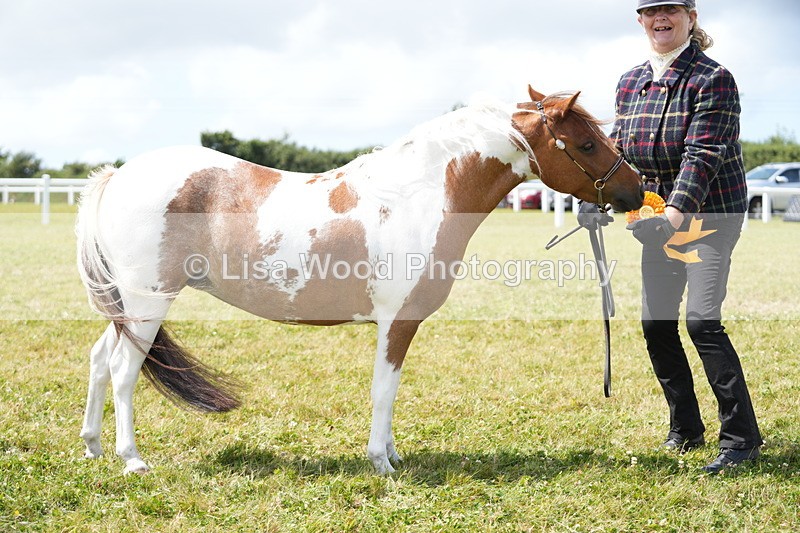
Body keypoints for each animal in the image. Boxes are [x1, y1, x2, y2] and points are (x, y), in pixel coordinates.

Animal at [76, 85, 644, 475]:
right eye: (586, 144)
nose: (637, 189)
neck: (420, 196)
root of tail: (117, 175)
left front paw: (391, 454)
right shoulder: (398, 320)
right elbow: (383, 390)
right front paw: (382, 462)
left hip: (130, 306)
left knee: (101, 360)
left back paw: (94, 447)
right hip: (149, 303)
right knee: (124, 370)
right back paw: (132, 459)